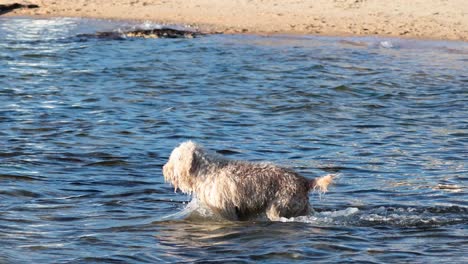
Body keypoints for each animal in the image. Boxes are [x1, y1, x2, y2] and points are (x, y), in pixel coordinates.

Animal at [163, 140, 334, 221]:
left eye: (174, 158)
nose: (163, 170)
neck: (206, 171)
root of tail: (305, 181)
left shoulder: (225, 209)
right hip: (302, 208)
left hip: (279, 206)